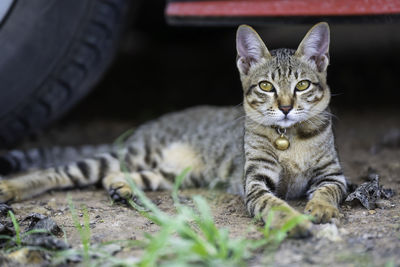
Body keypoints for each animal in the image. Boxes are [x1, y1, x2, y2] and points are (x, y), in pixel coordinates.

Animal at [0, 22, 346, 237]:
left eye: (302, 85)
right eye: (266, 86)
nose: (286, 108)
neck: (290, 139)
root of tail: (149, 125)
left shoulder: (334, 174)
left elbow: (327, 191)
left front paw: (320, 208)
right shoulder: (256, 182)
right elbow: (273, 203)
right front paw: (292, 221)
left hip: (178, 172)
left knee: (124, 177)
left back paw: (121, 185)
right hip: (135, 153)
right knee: (61, 171)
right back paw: (12, 187)